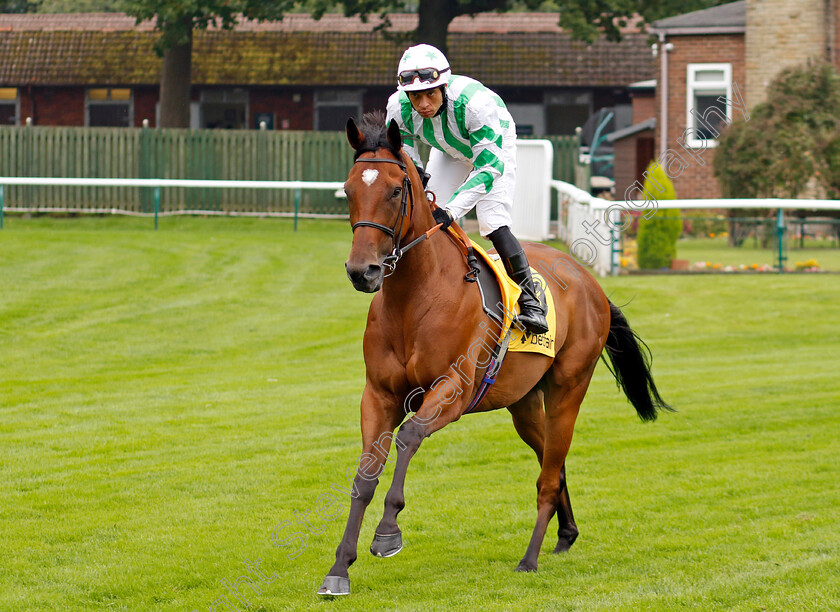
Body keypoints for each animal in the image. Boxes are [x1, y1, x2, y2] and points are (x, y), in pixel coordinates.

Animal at [318, 112, 672, 596]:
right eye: (350, 189)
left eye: (393, 190)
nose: (362, 271)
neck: (416, 298)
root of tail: (590, 282)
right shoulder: (378, 394)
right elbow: (365, 474)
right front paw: (339, 567)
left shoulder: (453, 390)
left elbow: (408, 439)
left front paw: (388, 533)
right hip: (523, 402)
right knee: (553, 462)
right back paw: (566, 534)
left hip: (568, 389)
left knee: (548, 475)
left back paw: (530, 557)